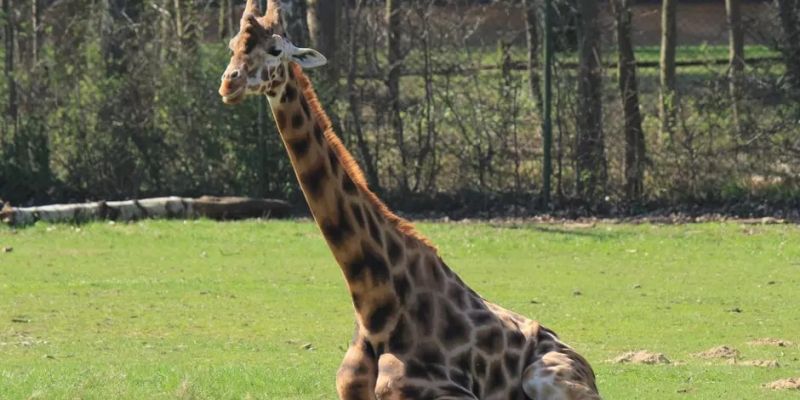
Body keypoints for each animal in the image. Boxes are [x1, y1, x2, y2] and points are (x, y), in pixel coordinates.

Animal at [219, 1, 600, 398]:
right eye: (232, 46)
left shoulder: (450, 392)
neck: (376, 305)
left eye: (275, 49)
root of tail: (587, 367)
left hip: (543, 376)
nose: (229, 83)